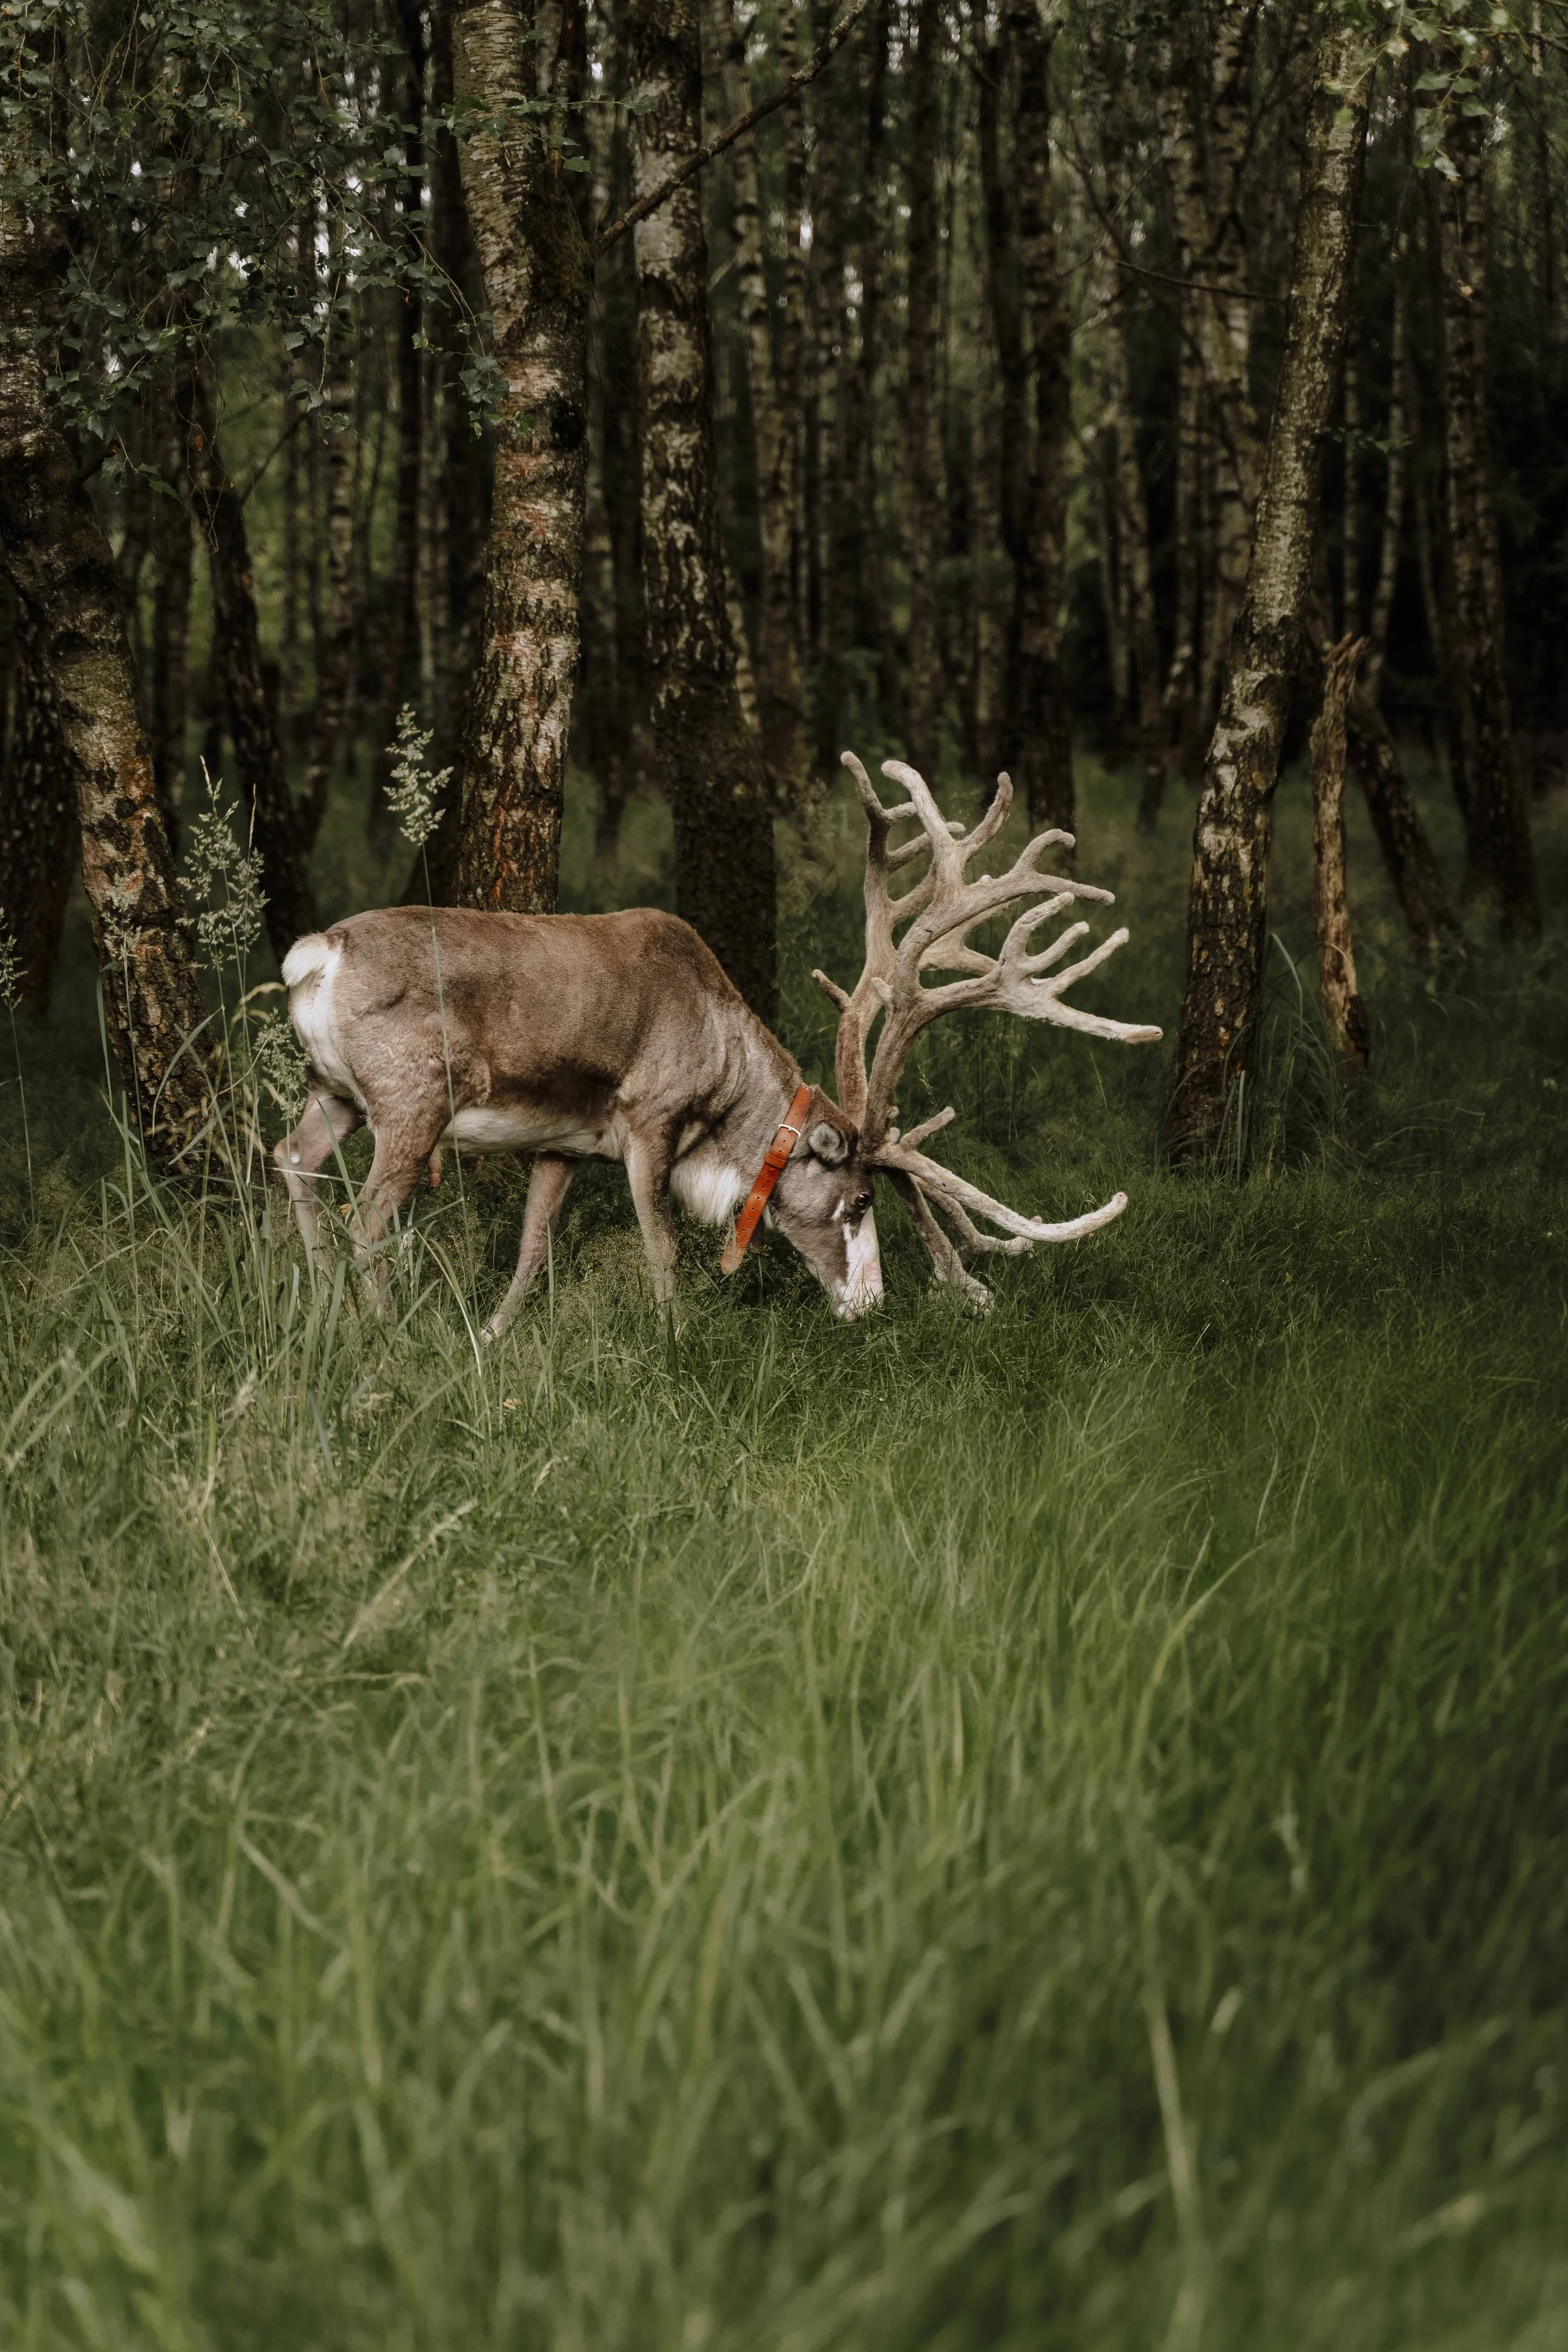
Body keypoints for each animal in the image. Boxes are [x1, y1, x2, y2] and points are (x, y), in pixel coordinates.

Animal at [274, 753, 1162, 1334]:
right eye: (861, 1201)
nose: (870, 1305)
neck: (726, 1079)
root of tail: (316, 955)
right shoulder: (649, 1119)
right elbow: (663, 1248)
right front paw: (674, 1345)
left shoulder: (563, 1143)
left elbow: (531, 1250)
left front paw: (489, 1339)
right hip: (412, 1098)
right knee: (366, 1222)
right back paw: (382, 1335)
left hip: (336, 1092)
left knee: (292, 1159)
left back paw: (320, 1316)